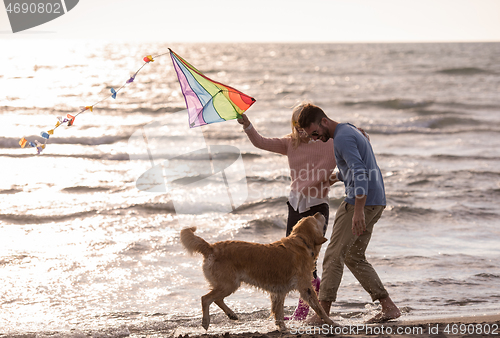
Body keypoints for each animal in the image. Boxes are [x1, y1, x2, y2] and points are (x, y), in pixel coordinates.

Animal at [180, 213, 332, 332]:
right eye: (314, 218)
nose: (319, 212)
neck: (302, 242)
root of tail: (211, 247)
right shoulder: (306, 287)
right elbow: (319, 308)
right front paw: (332, 322)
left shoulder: (279, 291)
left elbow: (279, 312)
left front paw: (282, 327)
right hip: (229, 284)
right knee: (205, 298)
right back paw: (206, 321)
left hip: (227, 284)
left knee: (216, 299)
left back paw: (231, 314)